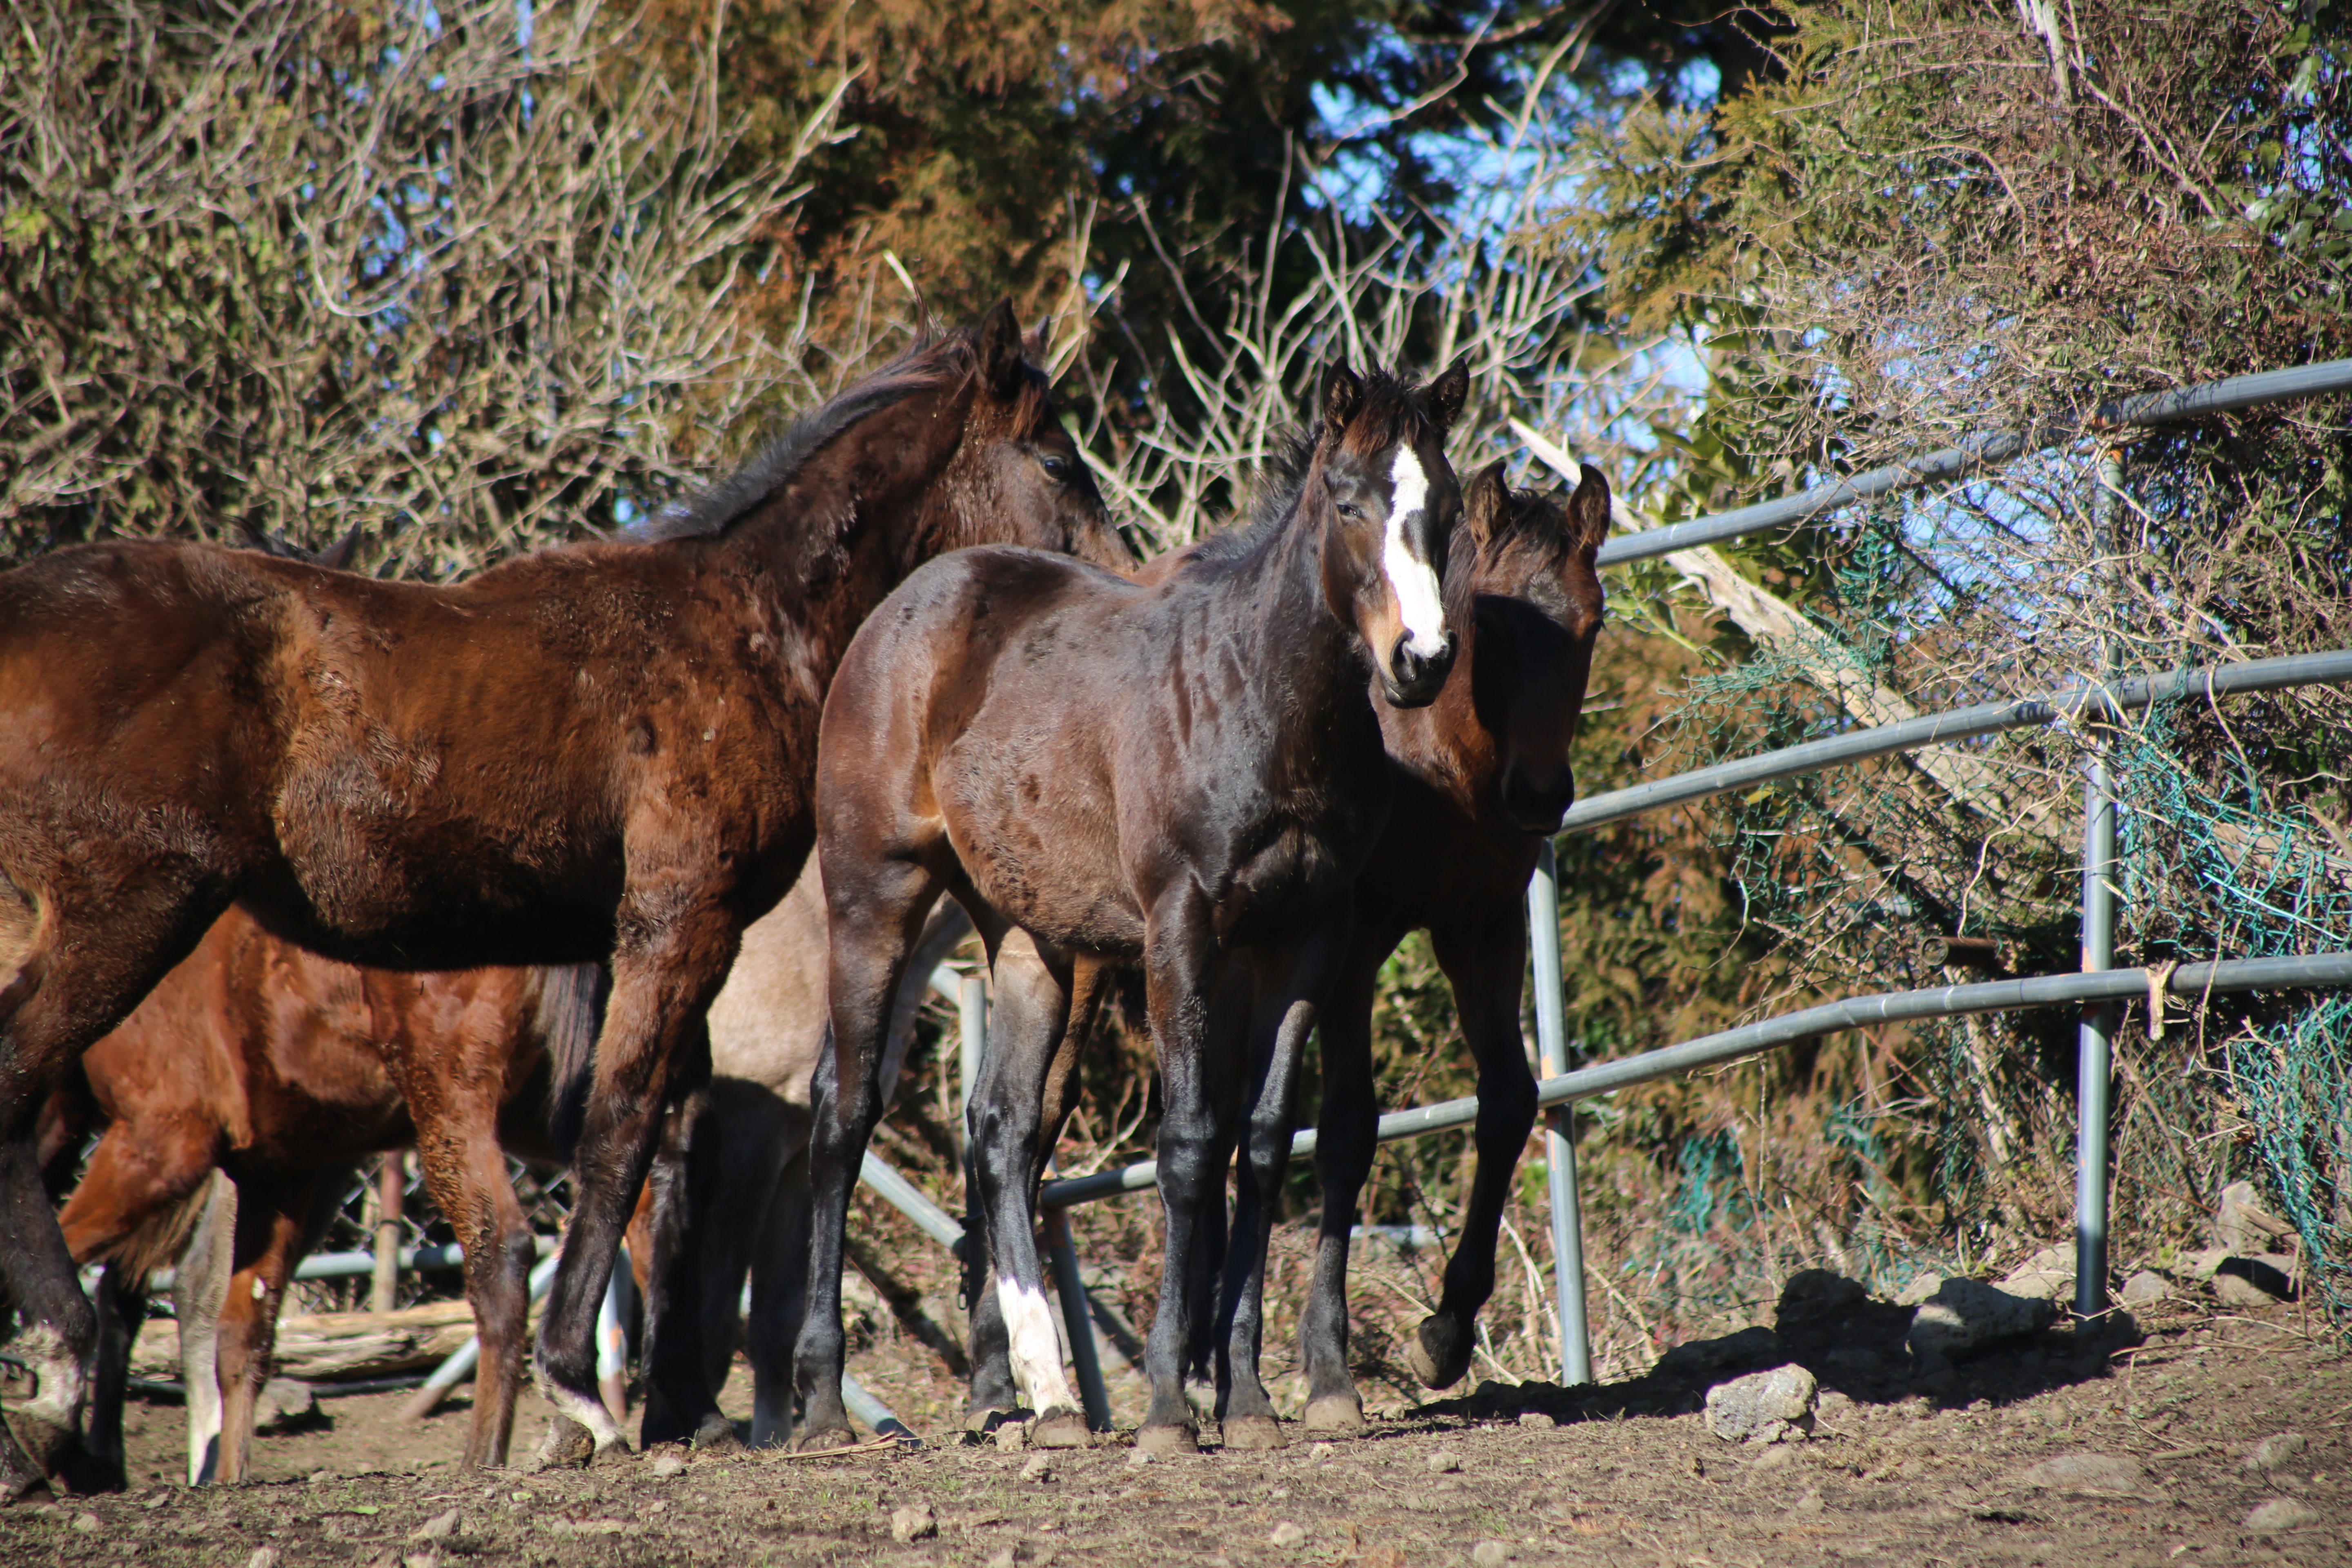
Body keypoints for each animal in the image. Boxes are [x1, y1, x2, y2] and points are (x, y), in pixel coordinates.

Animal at [0, 297, 1115, 1495]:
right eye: (1057, 460)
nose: (1113, 594)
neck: (741, 621)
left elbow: (667, 1149)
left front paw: (681, 1406)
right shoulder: (678, 923)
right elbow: (620, 1131)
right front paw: (582, 1390)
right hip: (128, 917)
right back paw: (57, 1375)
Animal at [809, 362, 1468, 1457]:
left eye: (1447, 506)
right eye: (1347, 501)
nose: (1421, 658)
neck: (1261, 702)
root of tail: (901, 611)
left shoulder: (1304, 940)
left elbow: (1262, 1142)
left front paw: (1246, 1398)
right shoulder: (1182, 930)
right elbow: (1190, 1145)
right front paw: (1169, 1402)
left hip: (1028, 938)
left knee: (999, 1129)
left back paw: (1047, 1395)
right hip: (875, 899)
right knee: (843, 1109)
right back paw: (821, 1397)